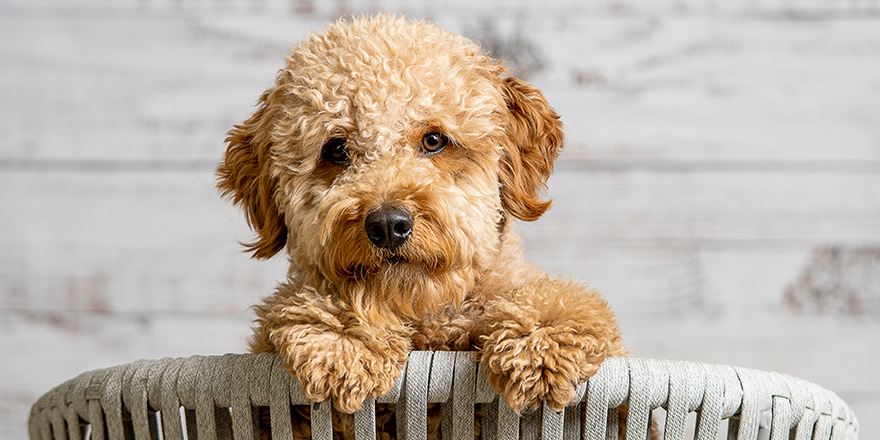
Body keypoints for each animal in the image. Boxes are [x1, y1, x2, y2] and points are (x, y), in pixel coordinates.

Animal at [218, 15, 624, 438]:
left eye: (433, 140)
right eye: (336, 150)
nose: (387, 224)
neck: (426, 316)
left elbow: (566, 303)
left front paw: (540, 342)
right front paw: (341, 338)